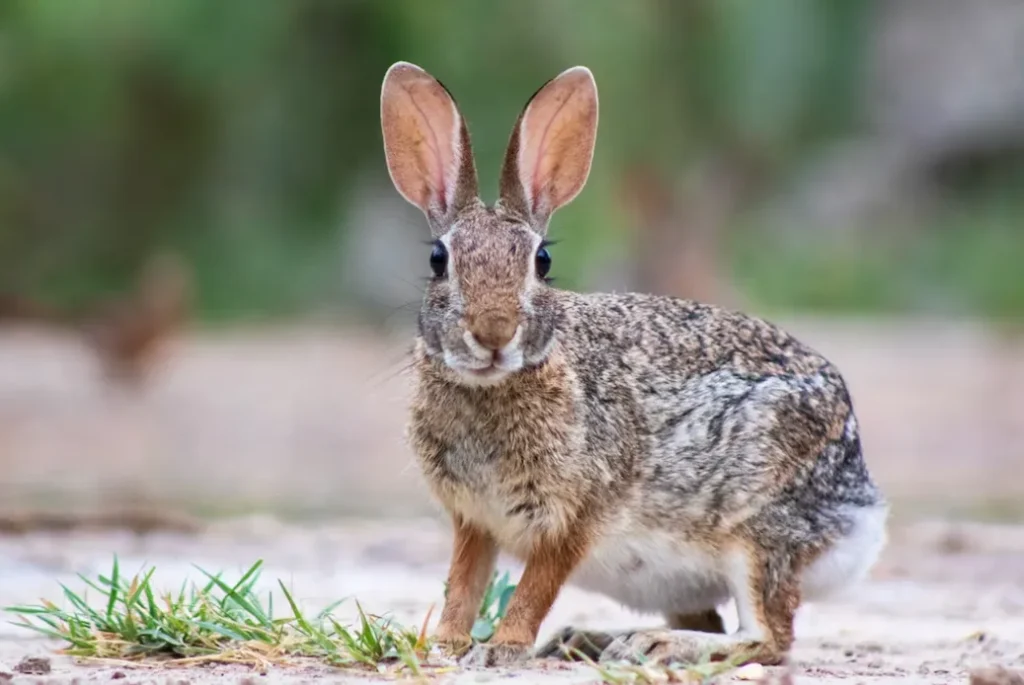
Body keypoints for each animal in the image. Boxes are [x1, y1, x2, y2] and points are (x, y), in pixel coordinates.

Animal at [379, 62, 888, 668]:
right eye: (438, 260)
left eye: (542, 261)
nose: (493, 333)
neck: (497, 384)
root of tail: (862, 507)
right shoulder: (475, 521)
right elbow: (464, 582)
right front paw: (447, 644)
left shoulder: (575, 516)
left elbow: (535, 588)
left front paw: (503, 650)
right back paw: (591, 640)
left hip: (756, 529)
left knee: (768, 638)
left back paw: (654, 643)